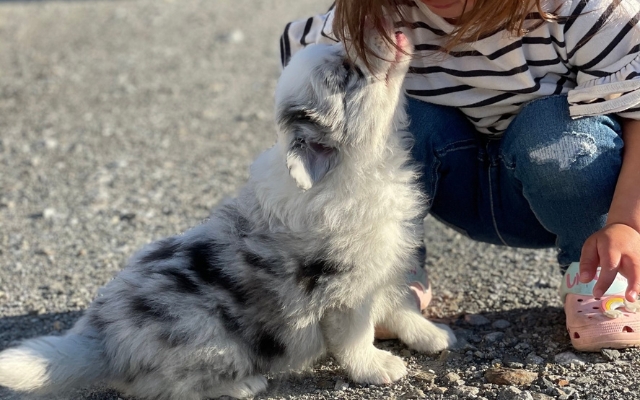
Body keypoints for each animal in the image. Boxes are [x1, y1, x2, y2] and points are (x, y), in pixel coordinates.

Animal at [0, 29, 456, 398]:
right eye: (348, 70)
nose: (390, 29)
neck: (361, 166)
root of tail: (103, 340)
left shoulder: (386, 267)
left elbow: (399, 304)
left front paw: (431, 334)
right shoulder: (344, 290)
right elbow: (355, 338)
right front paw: (378, 367)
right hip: (206, 338)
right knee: (167, 388)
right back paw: (242, 385)